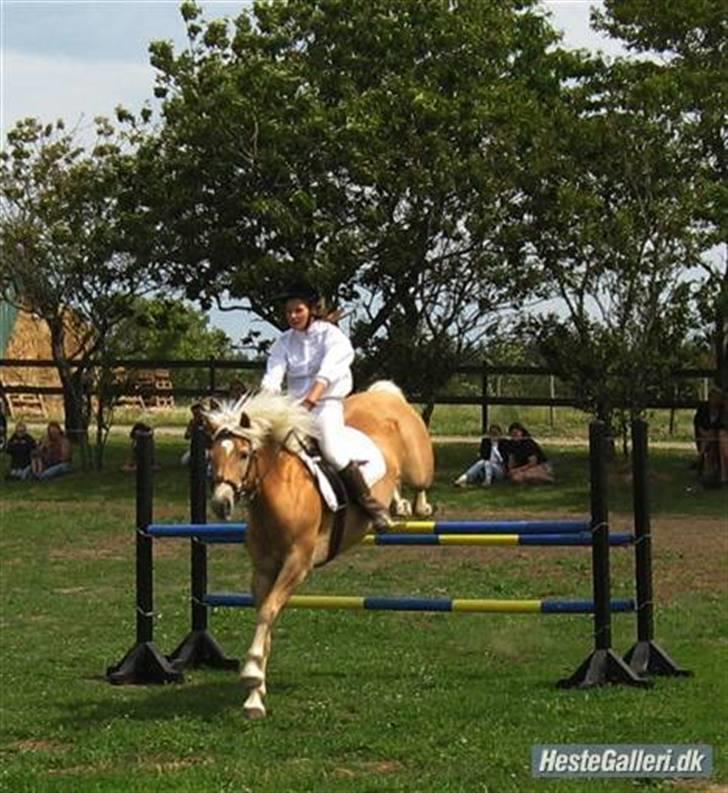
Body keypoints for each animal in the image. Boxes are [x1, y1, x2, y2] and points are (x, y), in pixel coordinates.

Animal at [202, 380, 436, 720]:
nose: (221, 503)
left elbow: (269, 610)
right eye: (212, 455)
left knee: (419, 482)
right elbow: (265, 616)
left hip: (419, 464)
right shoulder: (263, 568)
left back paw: (408, 507)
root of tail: (385, 396)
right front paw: (255, 695)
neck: (281, 494)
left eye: (244, 454)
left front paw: (251, 676)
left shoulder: (297, 564)